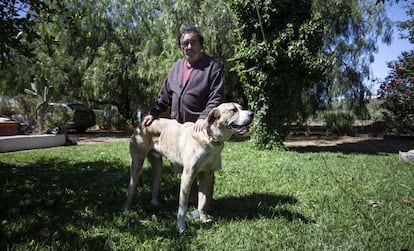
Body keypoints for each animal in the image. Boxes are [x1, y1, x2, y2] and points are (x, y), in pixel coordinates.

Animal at [122, 103, 252, 232]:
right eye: (233, 110)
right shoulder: (187, 176)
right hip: (137, 164)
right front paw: (181, 227)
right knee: (130, 189)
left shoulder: (206, 174)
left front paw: (203, 219)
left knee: (155, 182)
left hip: (158, 165)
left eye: (241, 108)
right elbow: (183, 207)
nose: (252, 114)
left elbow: (203, 201)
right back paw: (126, 211)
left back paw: (154, 202)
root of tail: (142, 123)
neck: (209, 138)